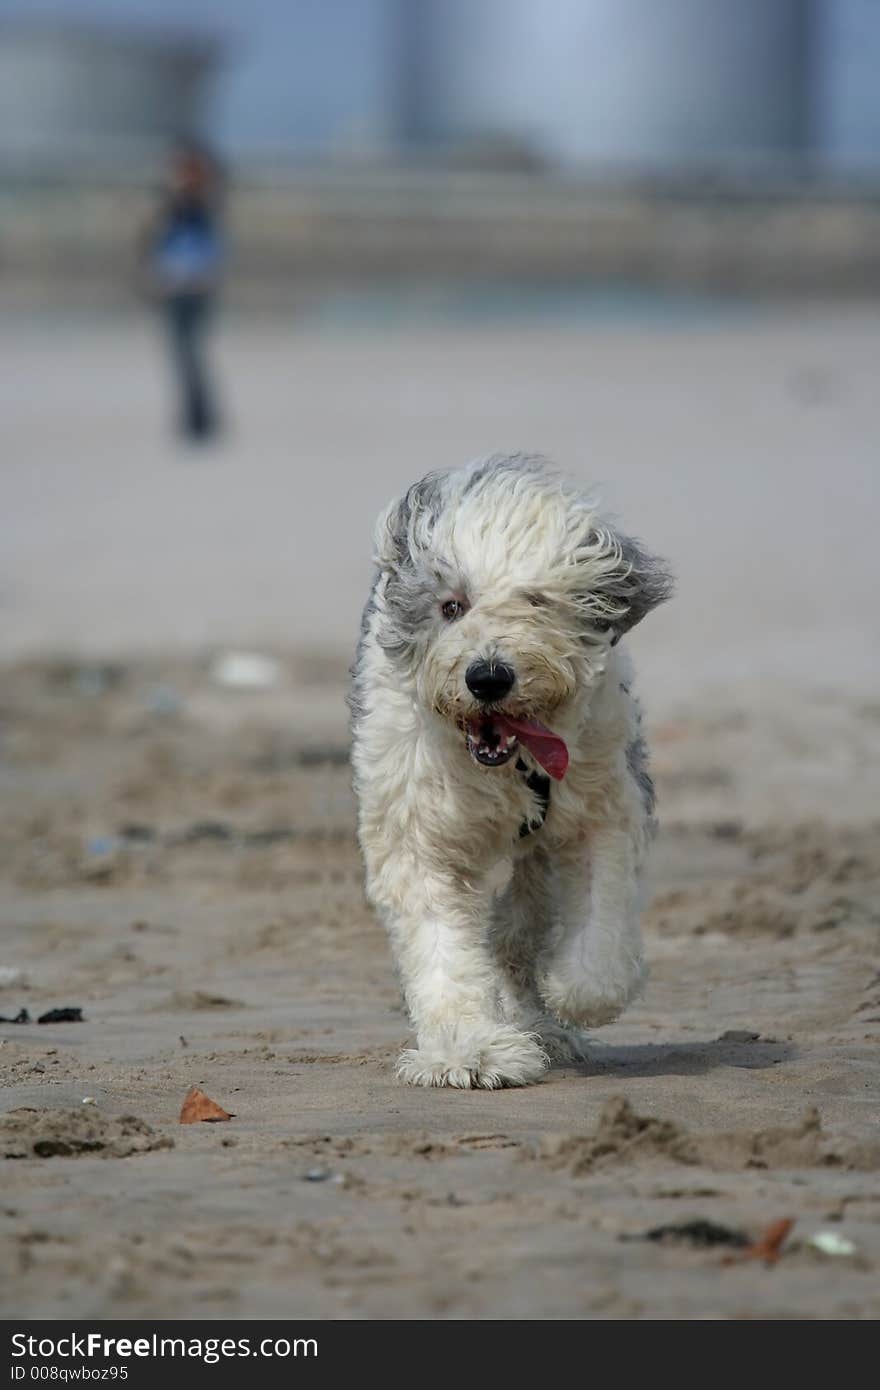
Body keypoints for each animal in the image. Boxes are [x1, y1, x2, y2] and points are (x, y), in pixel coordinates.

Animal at [346, 455, 670, 1084]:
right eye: (452, 606)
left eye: (536, 602)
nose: (488, 677)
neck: (508, 764)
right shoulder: (414, 829)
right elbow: (442, 945)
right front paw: (471, 1052)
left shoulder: (601, 801)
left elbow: (600, 907)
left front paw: (577, 992)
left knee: (518, 929)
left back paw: (543, 1023)